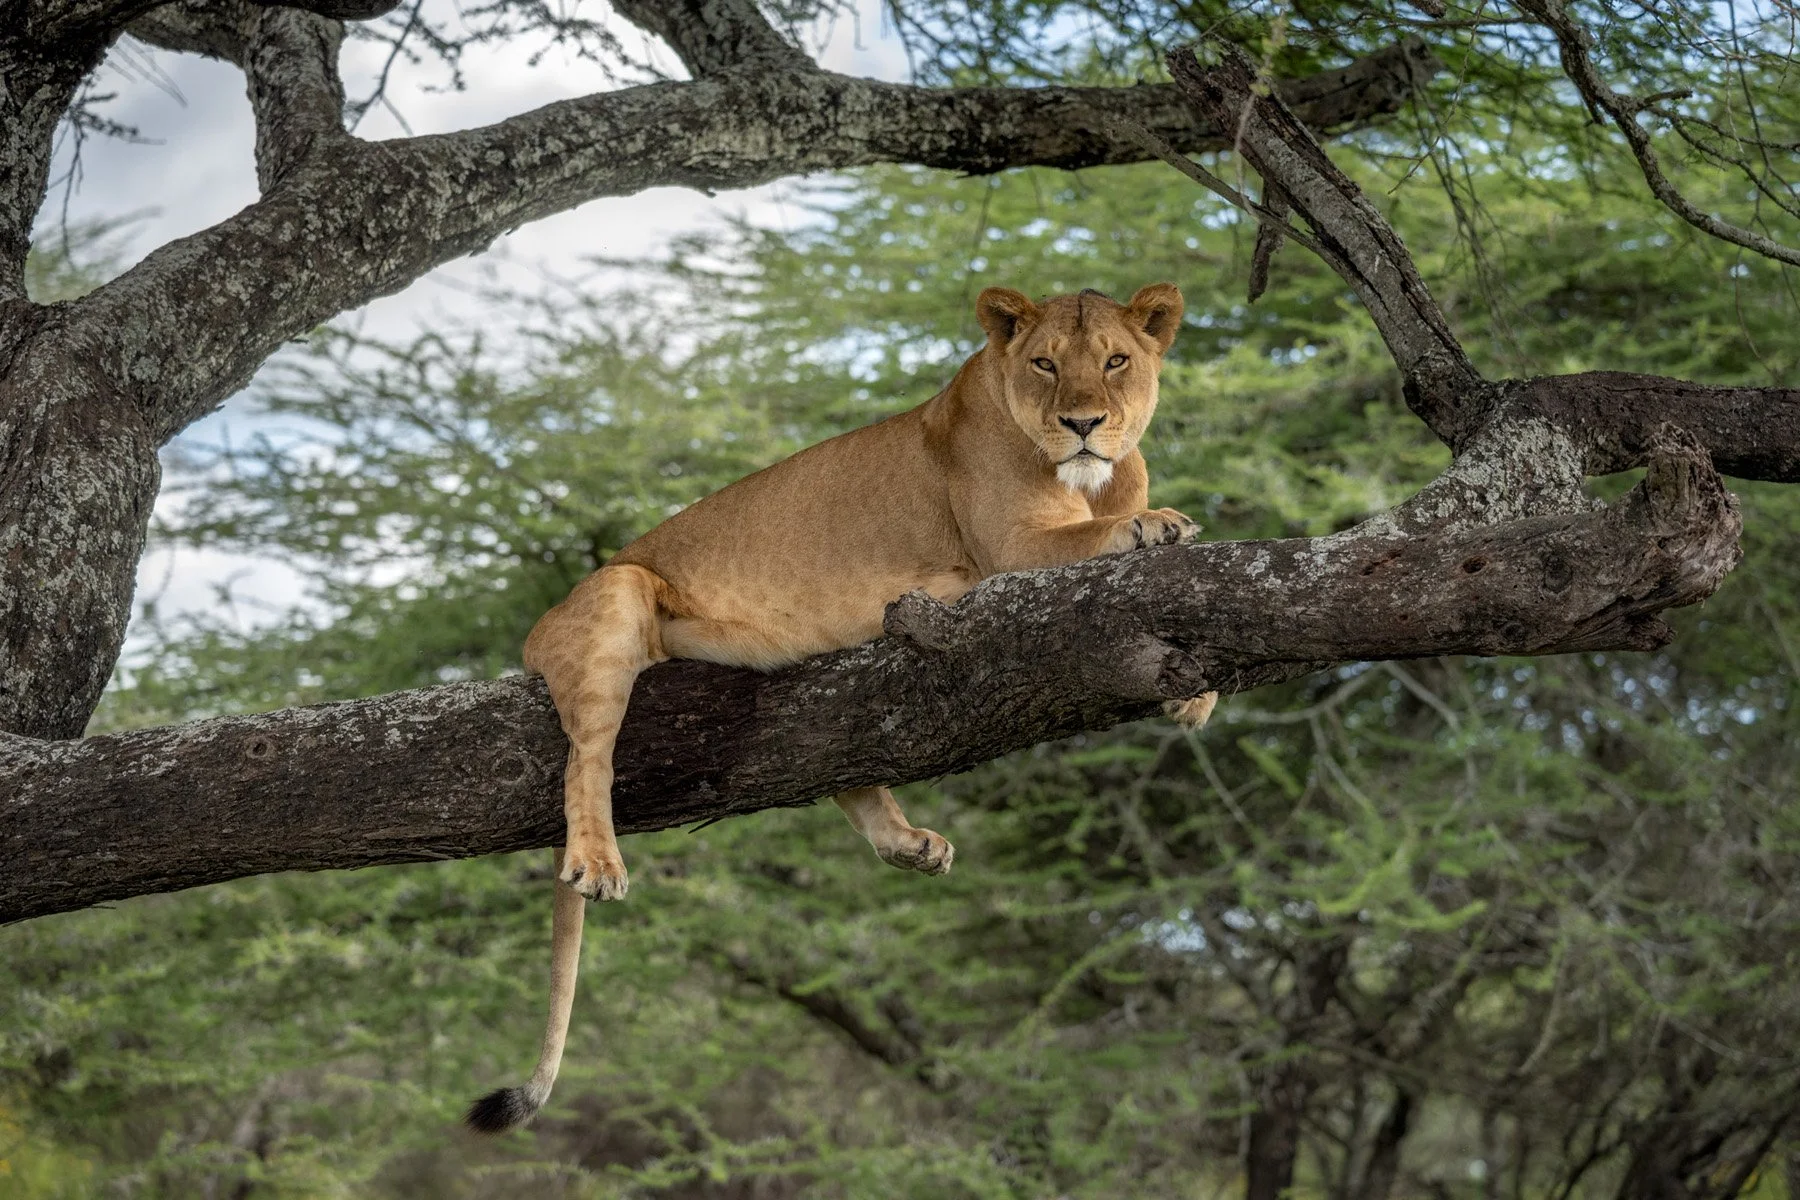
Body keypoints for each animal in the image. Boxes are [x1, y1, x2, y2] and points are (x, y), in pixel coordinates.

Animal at [466, 283, 1217, 1133]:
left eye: (1117, 361)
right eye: (1046, 365)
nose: (1084, 424)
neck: (1093, 478)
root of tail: (537, 630)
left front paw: (1195, 687)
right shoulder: (1011, 551)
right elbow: (1100, 535)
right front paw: (1155, 524)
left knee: (839, 758)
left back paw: (908, 842)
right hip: (619, 590)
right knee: (586, 759)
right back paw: (597, 862)